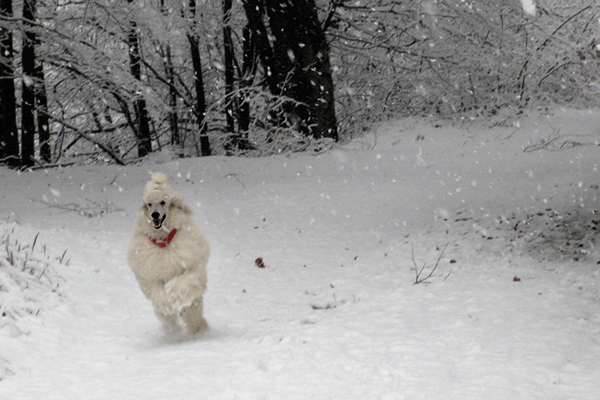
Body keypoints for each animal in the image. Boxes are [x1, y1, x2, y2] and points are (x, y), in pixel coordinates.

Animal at [127, 173, 210, 334]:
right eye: (149, 204)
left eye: (163, 202)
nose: (155, 215)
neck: (163, 241)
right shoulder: (149, 276)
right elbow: (158, 294)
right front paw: (167, 302)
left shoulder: (192, 267)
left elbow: (183, 283)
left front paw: (172, 292)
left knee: (193, 311)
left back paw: (197, 327)